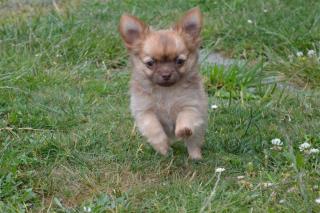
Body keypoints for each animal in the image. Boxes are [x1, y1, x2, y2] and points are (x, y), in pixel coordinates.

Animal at [119, 7, 208, 159]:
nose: (166, 74)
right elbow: (154, 128)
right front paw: (162, 147)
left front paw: (183, 129)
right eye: (150, 63)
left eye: (180, 61)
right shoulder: (145, 111)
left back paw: (196, 157)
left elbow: (185, 117)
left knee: (193, 142)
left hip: (197, 130)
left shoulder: (191, 105)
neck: (166, 91)